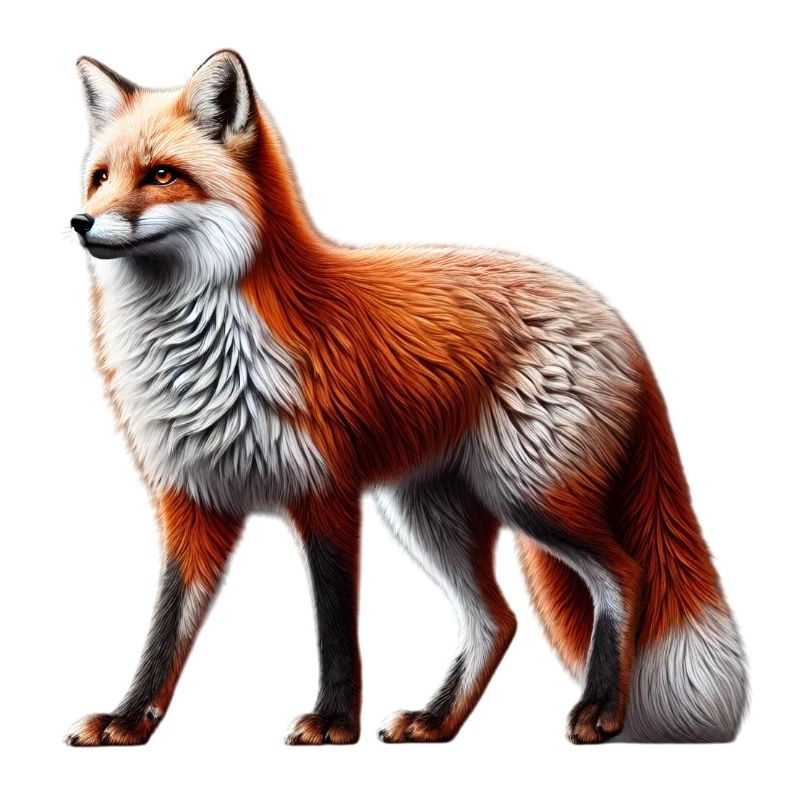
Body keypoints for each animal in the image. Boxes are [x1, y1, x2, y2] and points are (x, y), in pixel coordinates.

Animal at [66, 50, 747, 747]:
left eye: (162, 175)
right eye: (100, 178)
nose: (81, 222)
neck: (208, 355)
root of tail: (614, 318)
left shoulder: (327, 493)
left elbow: (336, 628)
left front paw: (334, 722)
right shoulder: (191, 500)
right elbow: (163, 631)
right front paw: (128, 719)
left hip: (531, 497)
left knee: (623, 575)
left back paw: (601, 709)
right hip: (429, 512)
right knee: (496, 620)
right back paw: (437, 720)